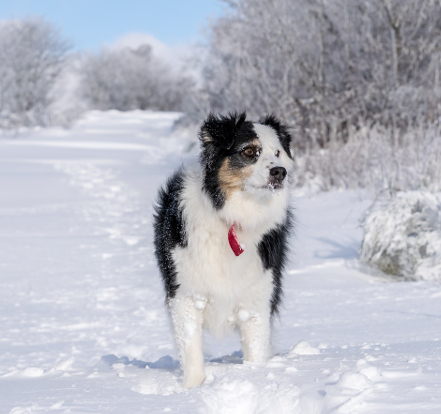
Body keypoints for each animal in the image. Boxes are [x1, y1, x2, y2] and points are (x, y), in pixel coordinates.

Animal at [153, 111, 294, 388]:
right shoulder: (186, 295)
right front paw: (193, 389)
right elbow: (192, 350)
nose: (279, 172)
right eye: (249, 151)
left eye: (278, 153)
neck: (234, 218)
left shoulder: (257, 299)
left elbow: (256, 350)